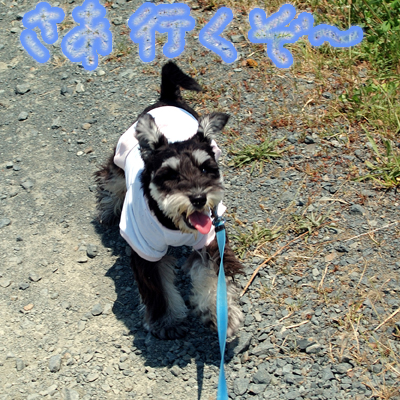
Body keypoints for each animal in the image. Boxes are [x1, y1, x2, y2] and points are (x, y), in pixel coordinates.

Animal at [95, 61, 243, 340]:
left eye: (206, 169)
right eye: (170, 175)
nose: (199, 198)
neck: (174, 225)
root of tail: (167, 99)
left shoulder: (211, 240)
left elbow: (211, 276)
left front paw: (220, 315)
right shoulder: (146, 251)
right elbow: (158, 289)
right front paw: (167, 321)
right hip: (119, 159)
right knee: (111, 180)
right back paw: (109, 209)